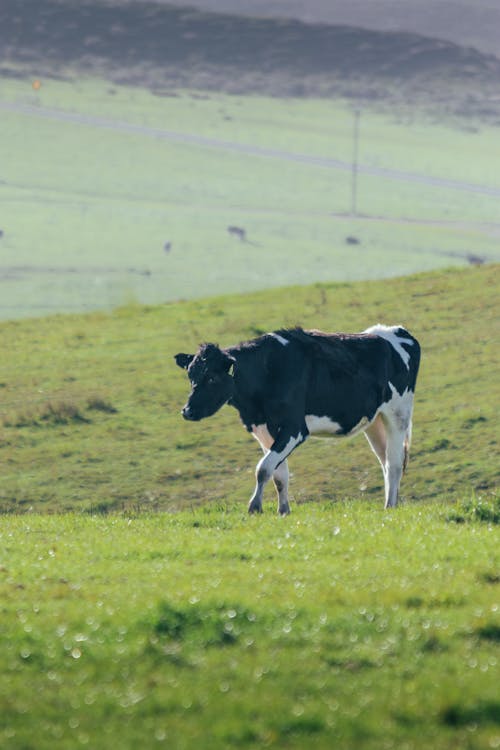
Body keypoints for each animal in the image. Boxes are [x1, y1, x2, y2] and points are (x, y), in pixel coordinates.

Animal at [174, 326, 420, 516]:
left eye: (212, 378)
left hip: (398, 414)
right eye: (190, 376)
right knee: (385, 461)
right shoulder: (262, 429)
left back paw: (390, 507)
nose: (187, 411)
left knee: (395, 463)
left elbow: (263, 468)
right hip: (374, 421)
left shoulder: (295, 429)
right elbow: (278, 473)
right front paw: (283, 510)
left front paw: (255, 506)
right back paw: (389, 502)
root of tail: (394, 330)